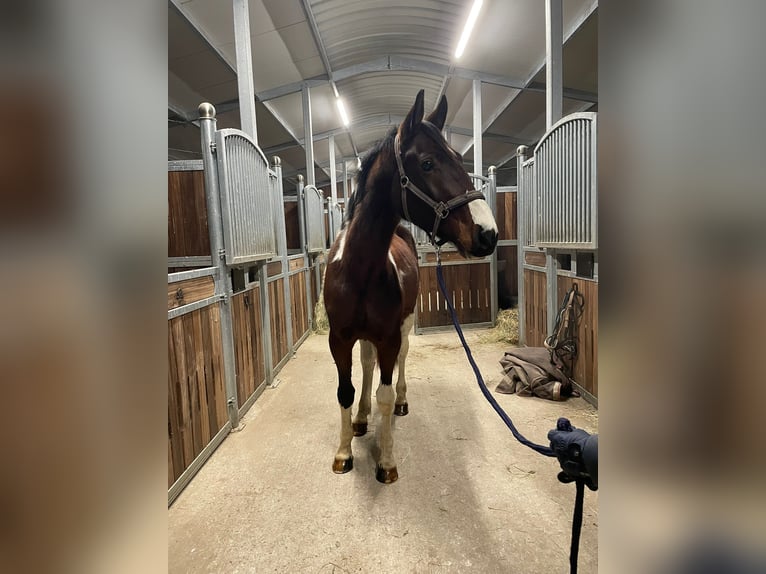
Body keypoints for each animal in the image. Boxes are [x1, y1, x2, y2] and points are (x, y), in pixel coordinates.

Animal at [323, 89, 498, 483]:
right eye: (428, 163)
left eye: (459, 158)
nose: (489, 234)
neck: (359, 269)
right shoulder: (339, 339)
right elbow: (345, 390)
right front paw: (343, 451)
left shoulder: (389, 336)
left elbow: (386, 394)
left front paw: (386, 462)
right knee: (367, 364)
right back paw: (361, 418)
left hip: (404, 325)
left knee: (400, 362)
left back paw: (400, 403)